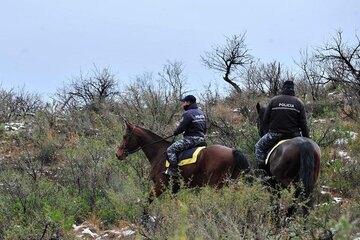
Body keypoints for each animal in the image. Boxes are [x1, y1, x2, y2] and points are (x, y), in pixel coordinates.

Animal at [115, 121, 250, 203]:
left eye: (124, 136)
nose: (118, 153)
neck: (159, 153)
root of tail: (233, 151)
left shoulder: (159, 185)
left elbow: (147, 201)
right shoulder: (174, 188)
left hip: (217, 185)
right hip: (232, 182)